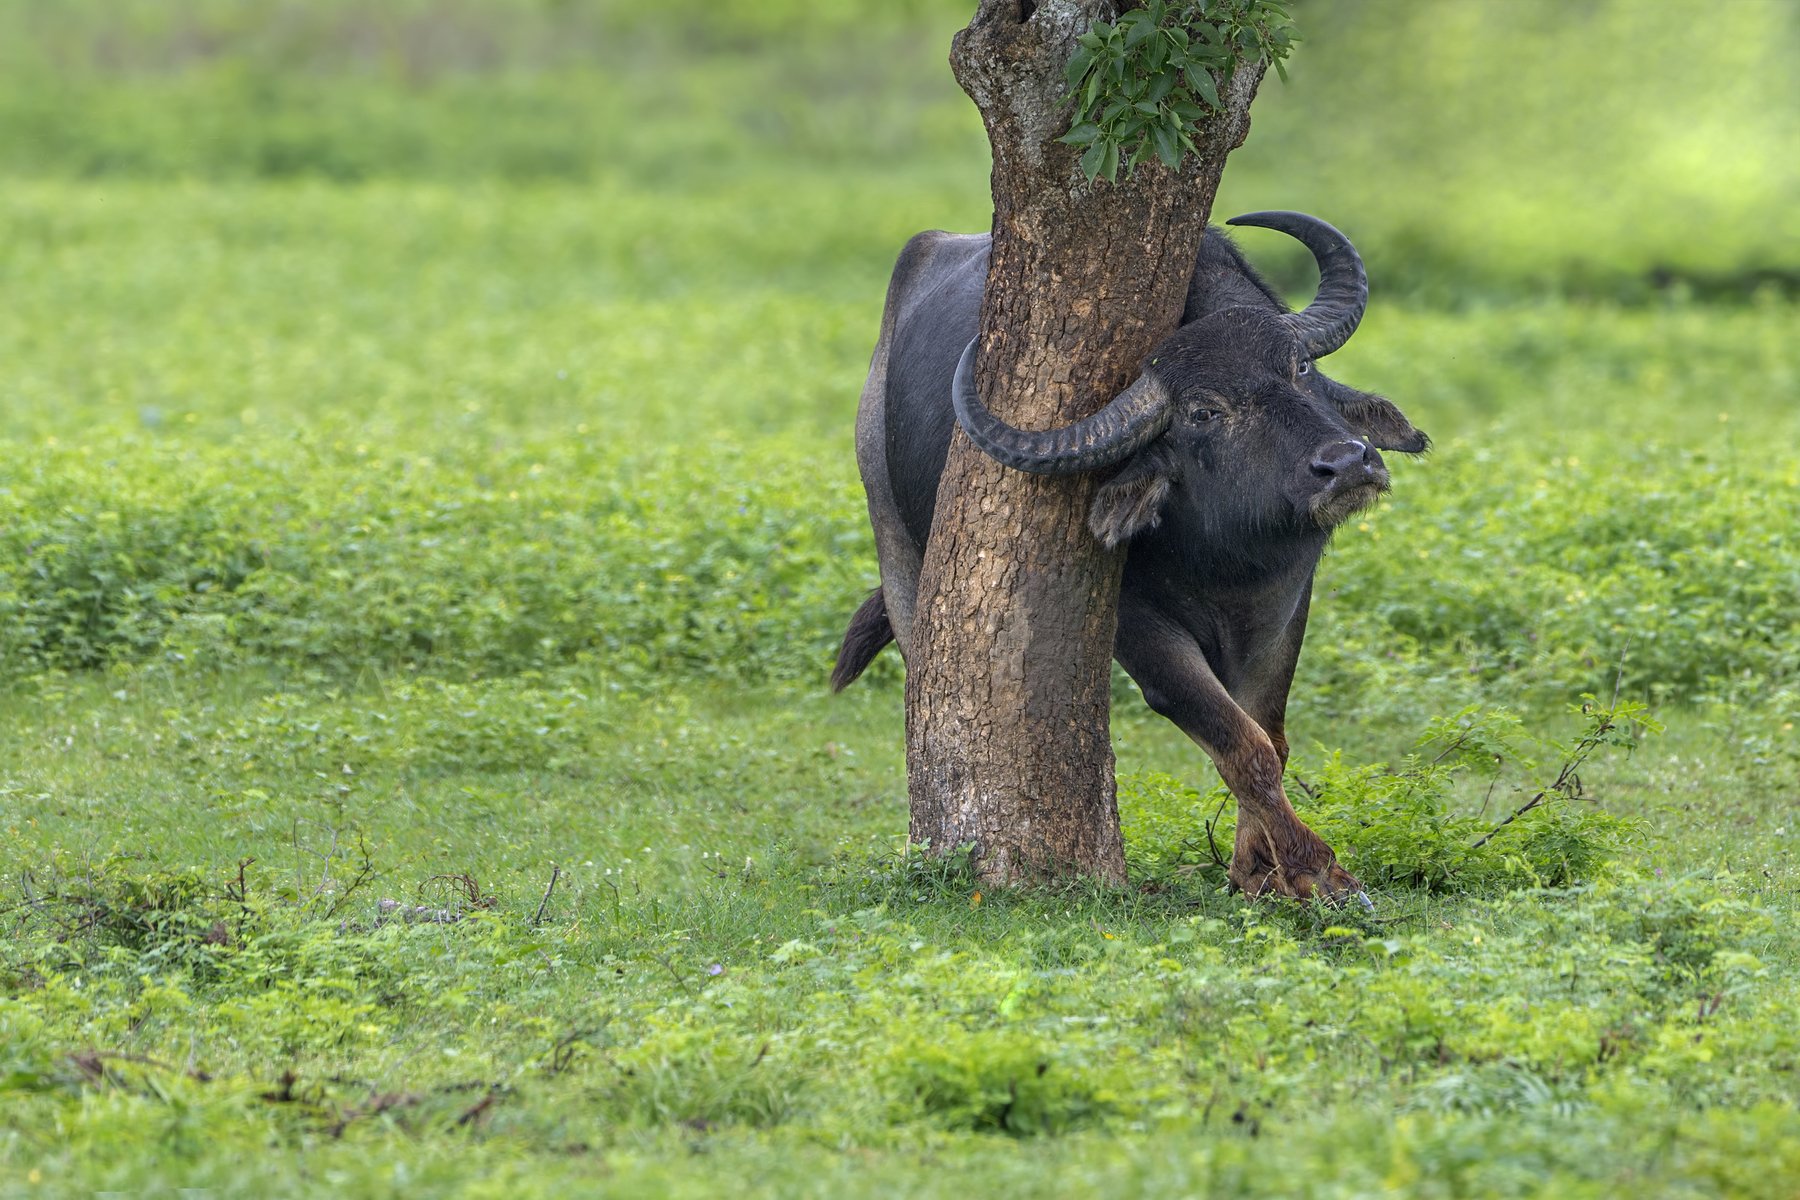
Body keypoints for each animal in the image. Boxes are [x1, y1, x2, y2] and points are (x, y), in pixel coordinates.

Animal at [835, 211, 1425, 899]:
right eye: (1203, 411)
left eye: (1300, 367)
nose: (1348, 462)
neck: (1227, 559)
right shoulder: (1140, 630)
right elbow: (1243, 746)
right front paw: (1315, 869)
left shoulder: (1286, 608)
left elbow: (1270, 738)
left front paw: (1257, 868)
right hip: (893, 539)